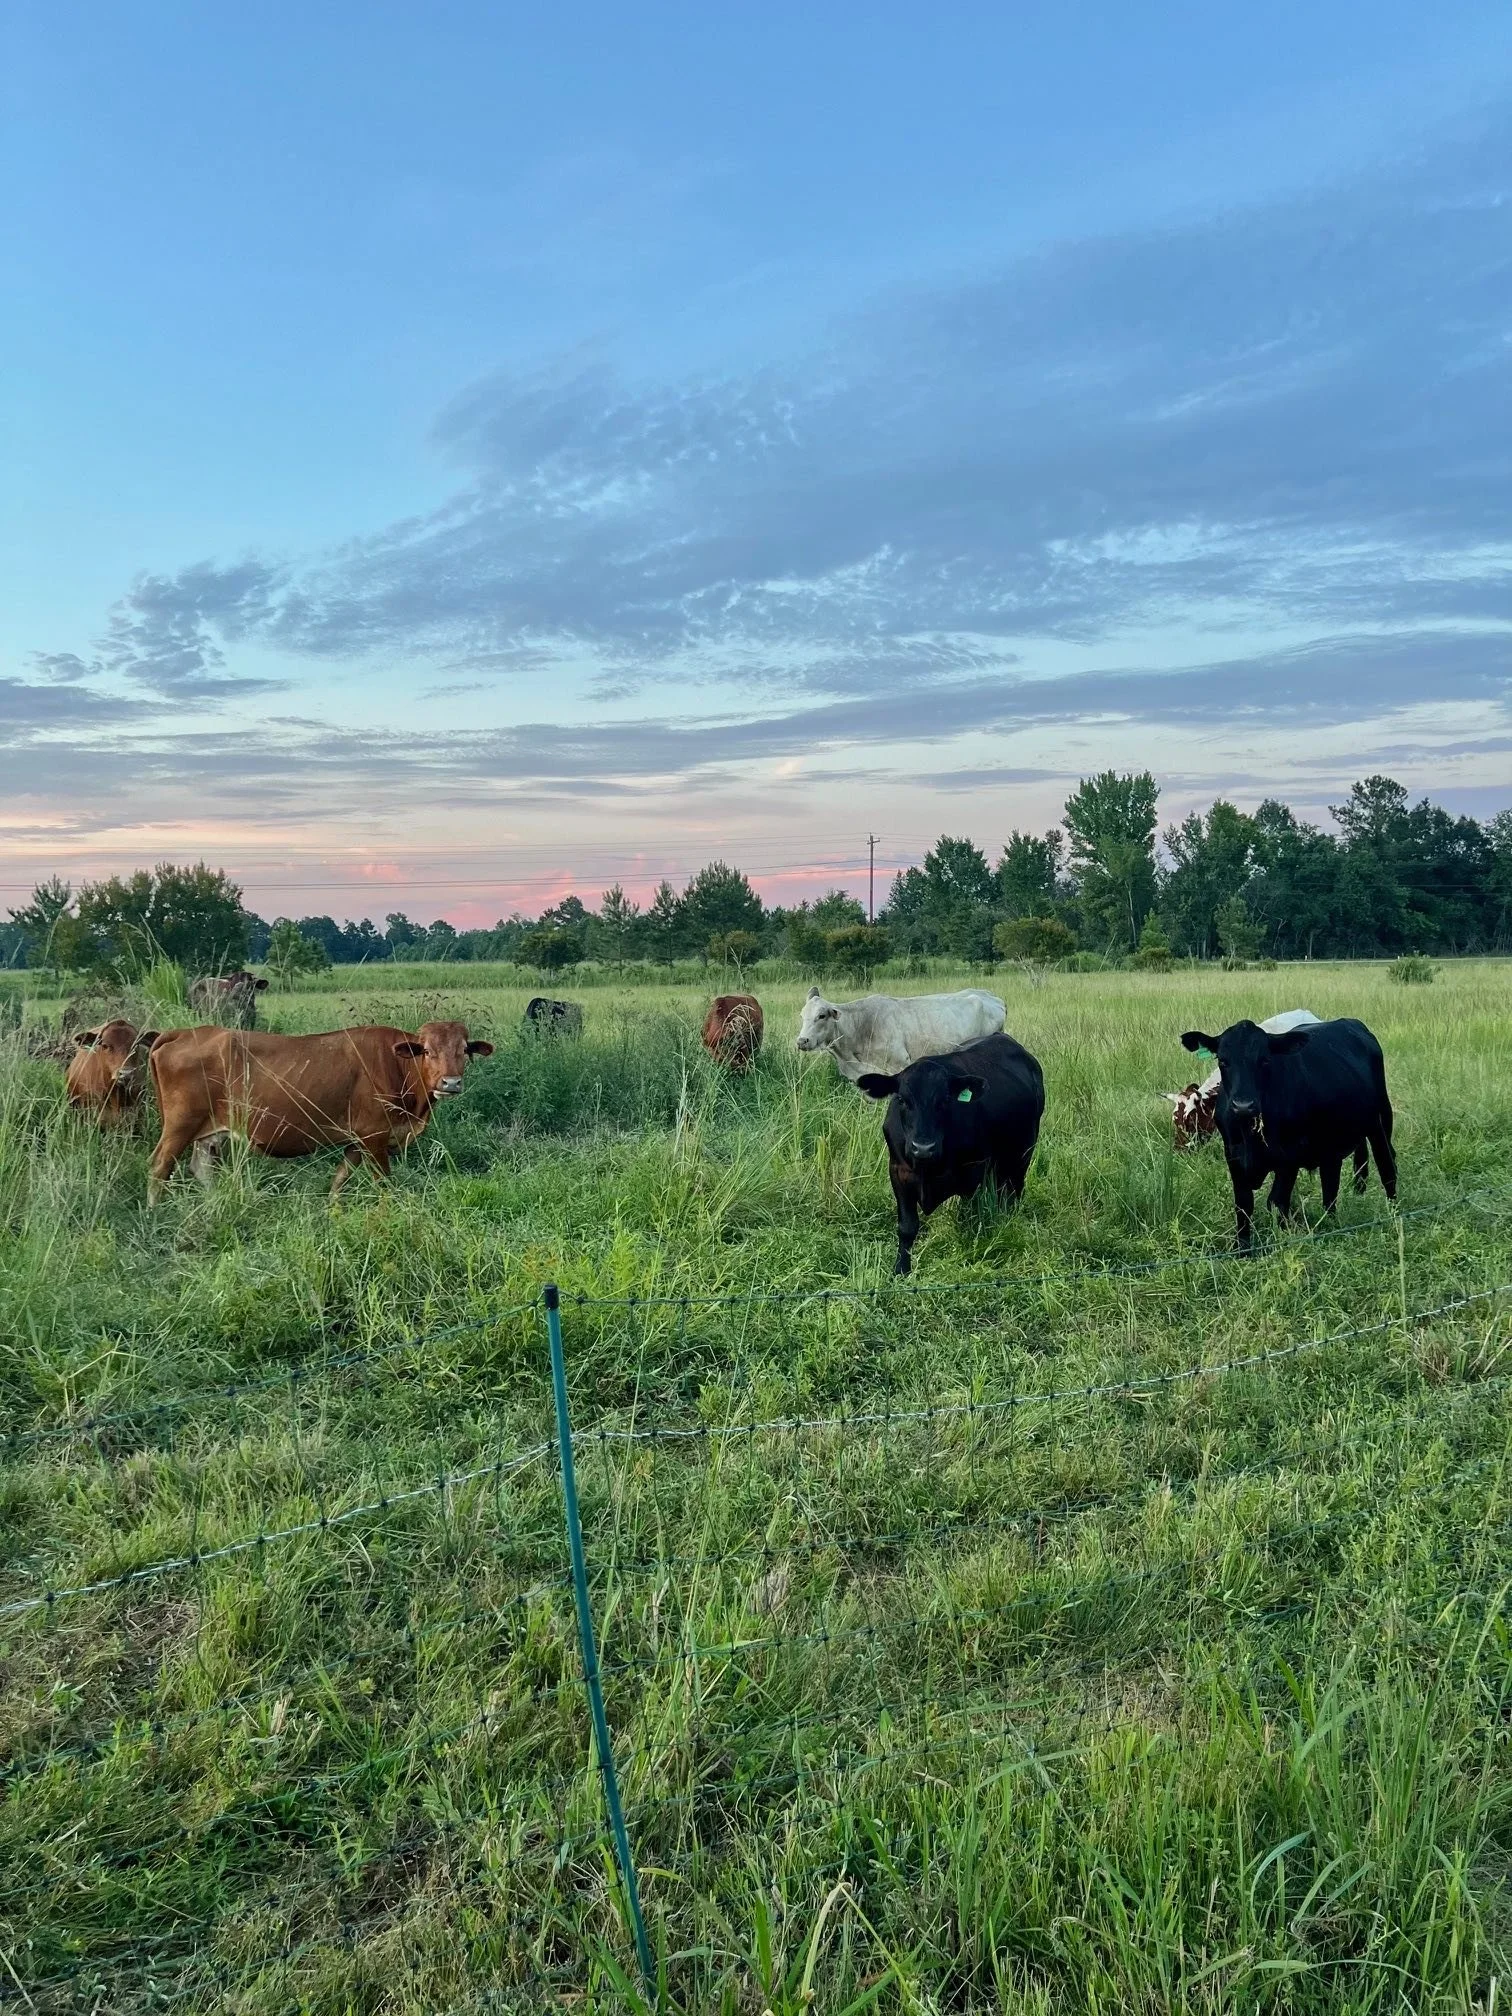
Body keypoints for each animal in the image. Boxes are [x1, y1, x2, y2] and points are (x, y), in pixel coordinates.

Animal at [146, 1019, 494, 1202]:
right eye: (428, 1051)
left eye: (464, 1050)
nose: (451, 1082)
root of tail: (183, 1032)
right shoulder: (375, 1135)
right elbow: (384, 1184)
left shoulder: (357, 1140)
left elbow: (339, 1179)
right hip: (179, 1126)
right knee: (159, 1167)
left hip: (209, 1131)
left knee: (200, 1167)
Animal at [857, 1033, 1045, 1275]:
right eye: (902, 1100)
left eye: (945, 1100)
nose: (923, 1148)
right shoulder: (898, 1171)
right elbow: (907, 1226)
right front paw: (901, 1269)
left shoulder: (974, 1171)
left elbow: (970, 1217)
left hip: (1022, 1154)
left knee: (1014, 1192)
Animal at [1179, 1016, 1396, 1250]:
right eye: (1222, 1061)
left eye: (1265, 1060)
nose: (1243, 1106)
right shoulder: (1233, 1155)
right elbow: (1243, 1205)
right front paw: (1243, 1248)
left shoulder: (1290, 1156)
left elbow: (1276, 1201)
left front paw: (1284, 1239)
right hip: (1331, 1144)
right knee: (1332, 1184)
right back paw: (1332, 1220)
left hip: (1380, 1121)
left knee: (1387, 1166)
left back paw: (1393, 1213)